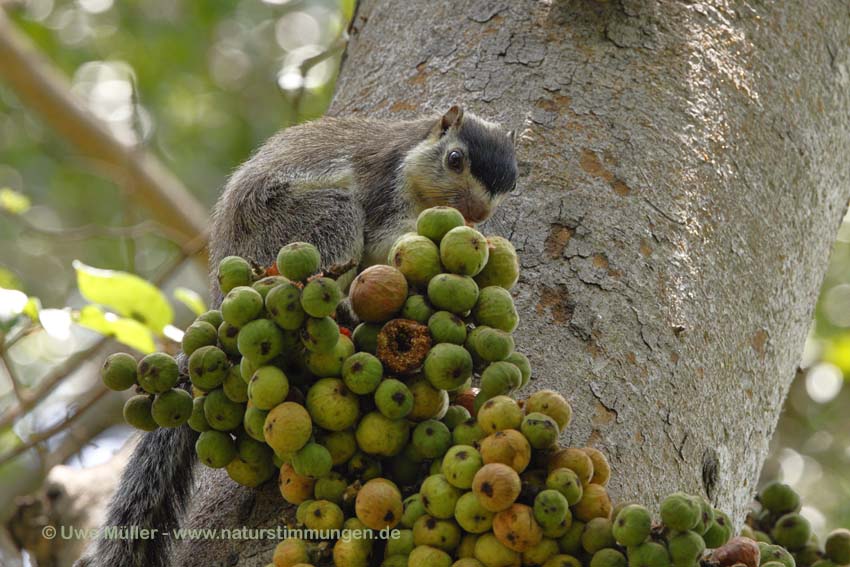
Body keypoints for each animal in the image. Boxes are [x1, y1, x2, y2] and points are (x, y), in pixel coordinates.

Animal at [76, 104, 516, 564]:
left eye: (511, 182)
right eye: (455, 159)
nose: (477, 213)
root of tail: (221, 298)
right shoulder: (384, 191)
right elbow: (388, 242)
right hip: (317, 220)